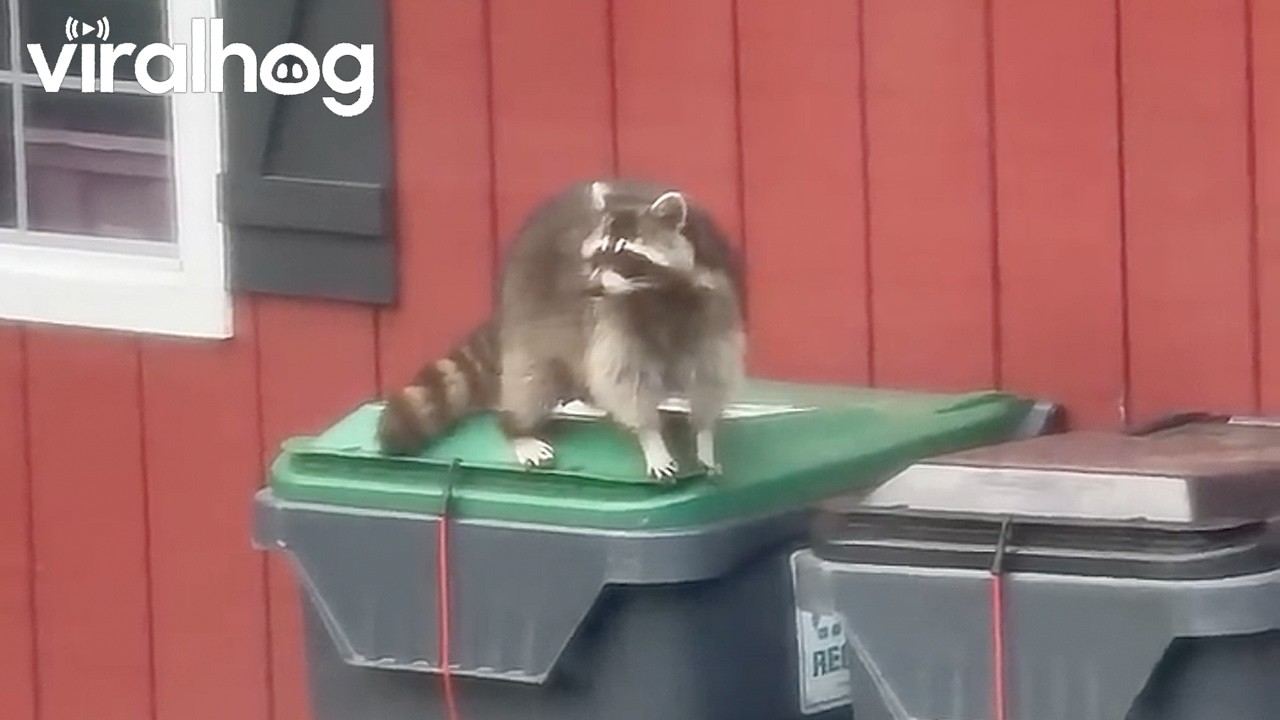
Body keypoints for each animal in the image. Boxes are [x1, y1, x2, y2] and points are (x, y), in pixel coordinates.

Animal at [377, 179, 746, 481]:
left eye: (625, 256)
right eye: (598, 255)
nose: (590, 288)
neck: (654, 291)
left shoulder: (714, 302)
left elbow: (711, 374)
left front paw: (704, 433)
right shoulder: (613, 319)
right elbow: (625, 379)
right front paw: (650, 437)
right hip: (530, 313)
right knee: (530, 380)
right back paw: (518, 427)